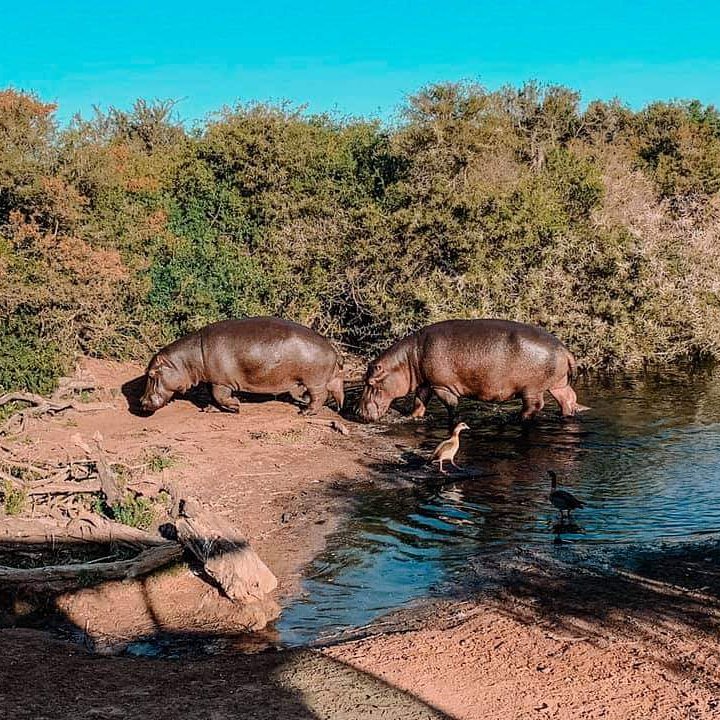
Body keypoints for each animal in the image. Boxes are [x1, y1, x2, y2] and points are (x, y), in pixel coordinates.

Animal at [140, 317, 344, 415]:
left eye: (151, 374)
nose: (142, 402)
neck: (186, 360)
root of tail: (332, 349)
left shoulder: (221, 382)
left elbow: (220, 396)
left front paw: (235, 407)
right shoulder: (213, 380)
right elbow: (213, 397)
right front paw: (210, 409)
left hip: (314, 381)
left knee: (319, 396)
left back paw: (305, 412)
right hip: (325, 378)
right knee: (335, 387)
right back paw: (337, 407)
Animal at [358, 319, 586, 424]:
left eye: (370, 383)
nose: (357, 412)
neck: (408, 359)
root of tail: (565, 349)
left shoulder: (442, 386)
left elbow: (451, 406)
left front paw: (453, 421)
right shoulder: (426, 383)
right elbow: (419, 402)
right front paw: (412, 417)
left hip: (532, 389)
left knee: (534, 406)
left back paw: (517, 419)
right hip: (558, 384)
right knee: (568, 399)